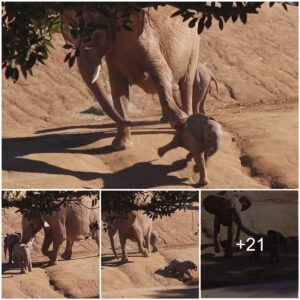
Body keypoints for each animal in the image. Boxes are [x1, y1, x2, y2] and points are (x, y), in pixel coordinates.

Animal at [61, 4, 199, 150]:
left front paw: (181, 120)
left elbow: (162, 73)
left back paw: (188, 121)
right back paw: (166, 120)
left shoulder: (146, 38)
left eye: (97, 37)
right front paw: (121, 146)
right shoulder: (114, 51)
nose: (129, 122)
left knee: (186, 83)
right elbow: (118, 88)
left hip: (194, 42)